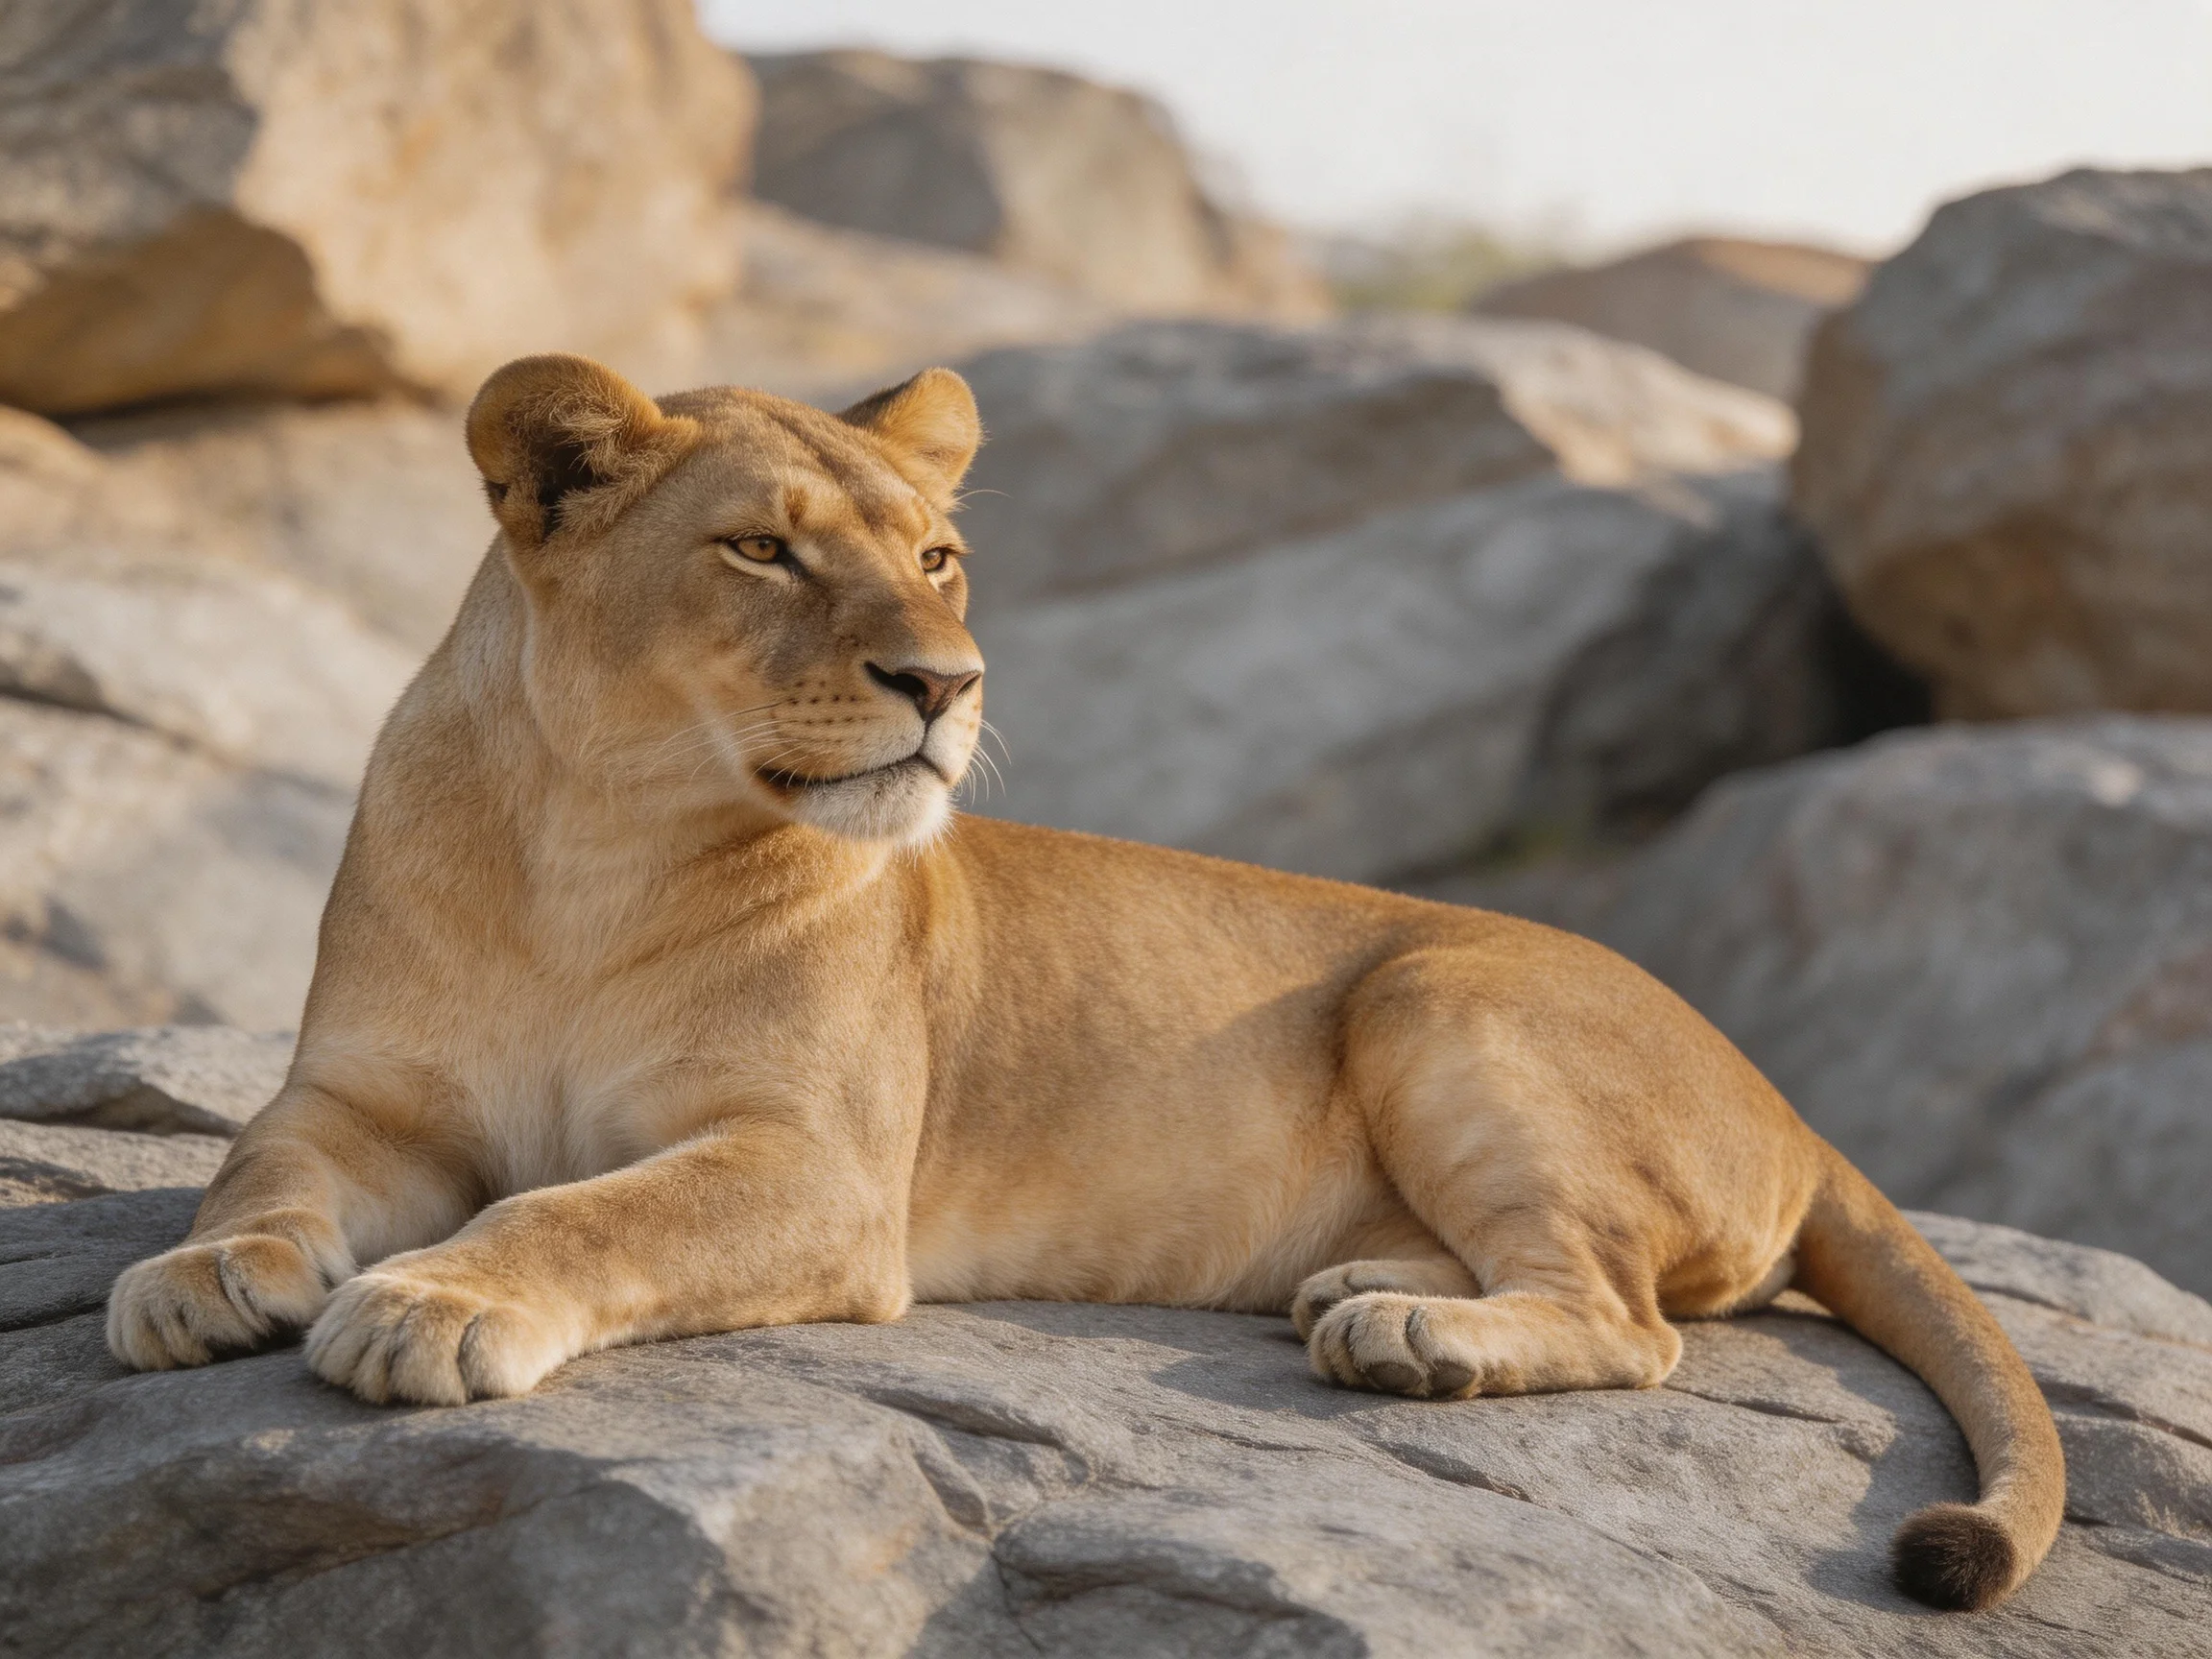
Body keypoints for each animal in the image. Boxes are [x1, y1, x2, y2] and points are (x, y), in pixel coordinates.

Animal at [107, 353, 2063, 1611]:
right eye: (763, 547)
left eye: (936, 556)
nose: (945, 682)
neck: (592, 840)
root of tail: (1794, 1105)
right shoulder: (356, 1094)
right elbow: (256, 1169)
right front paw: (197, 1281)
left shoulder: (821, 1174)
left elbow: (583, 1211)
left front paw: (430, 1304)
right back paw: (1366, 1286)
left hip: (1436, 986)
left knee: (1634, 1318)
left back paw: (1410, 1338)